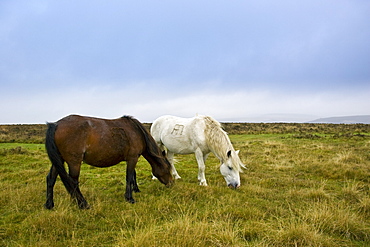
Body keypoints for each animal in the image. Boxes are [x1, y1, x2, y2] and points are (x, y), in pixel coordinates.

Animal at [44, 114, 174, 208]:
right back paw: (83, 204)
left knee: (51, 179)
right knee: (73, 182)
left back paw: (49, 205)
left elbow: (133, 175)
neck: (137, 132)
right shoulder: (133, 158)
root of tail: (56, 124)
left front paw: (135, 190)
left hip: (58, 161)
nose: (171, 183)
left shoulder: (132, 158)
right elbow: (129, 177)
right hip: (74, 162)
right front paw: (130, 198)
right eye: (168, 168)